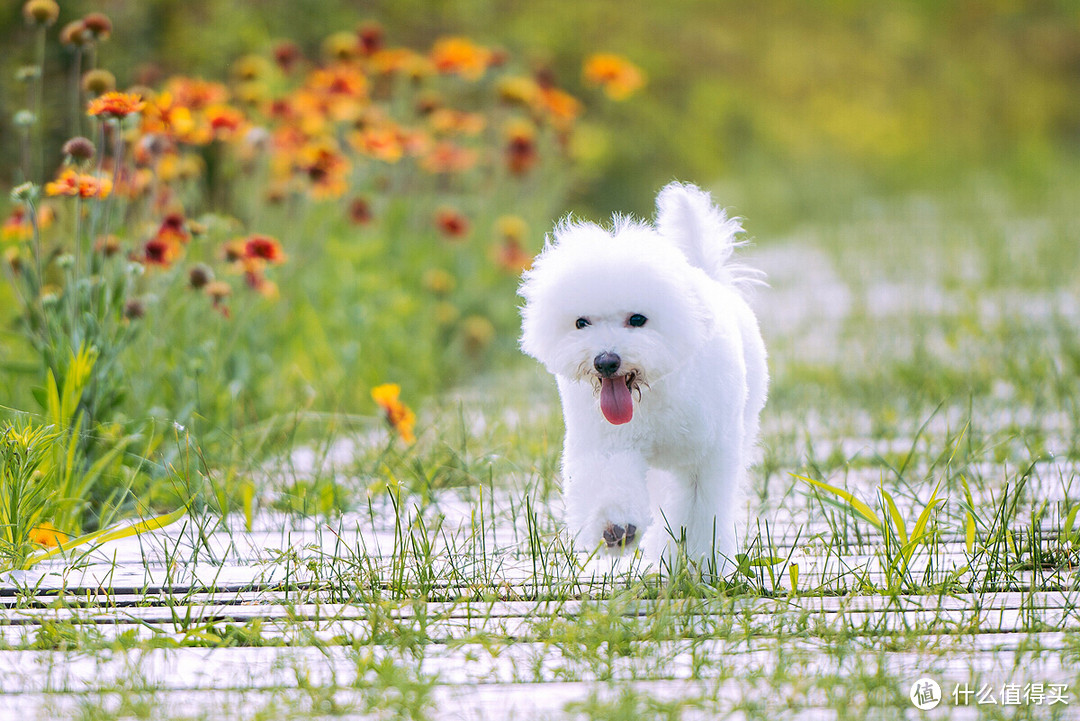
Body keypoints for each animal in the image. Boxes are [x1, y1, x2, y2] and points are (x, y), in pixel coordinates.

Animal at [520, 181, 768, 574]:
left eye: (637, 319)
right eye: (581, 323)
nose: (606, 361)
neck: (651, 396)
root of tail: (707, 275)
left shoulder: (705, 457)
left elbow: (700, 511)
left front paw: (705, 563)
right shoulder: (606, 441)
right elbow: (608, 479)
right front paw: (615, 528)